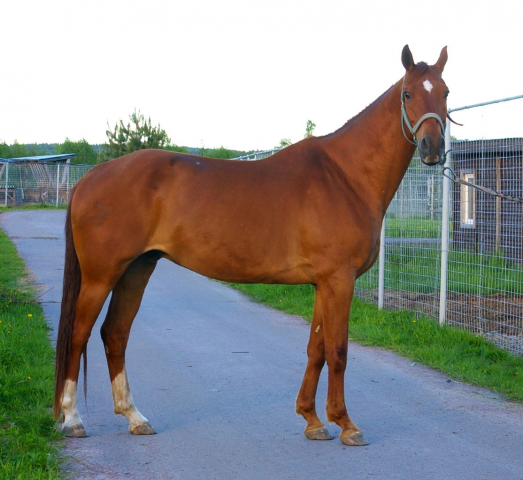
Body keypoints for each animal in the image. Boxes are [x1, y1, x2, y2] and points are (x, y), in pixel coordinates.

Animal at [54, 45, 450, 446]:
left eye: (445, 92)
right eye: (407, 94)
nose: (432, 147)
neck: (344, 175)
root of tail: (89, 178)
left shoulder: (323, 283)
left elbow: (316, 350)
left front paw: (312, 420)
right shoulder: (340, 280)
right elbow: (338, 351)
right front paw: (346, 424)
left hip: (137, 269)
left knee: (114, 333)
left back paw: (134, 417)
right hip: (101, 276)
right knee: (78, 334)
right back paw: (72, 420)